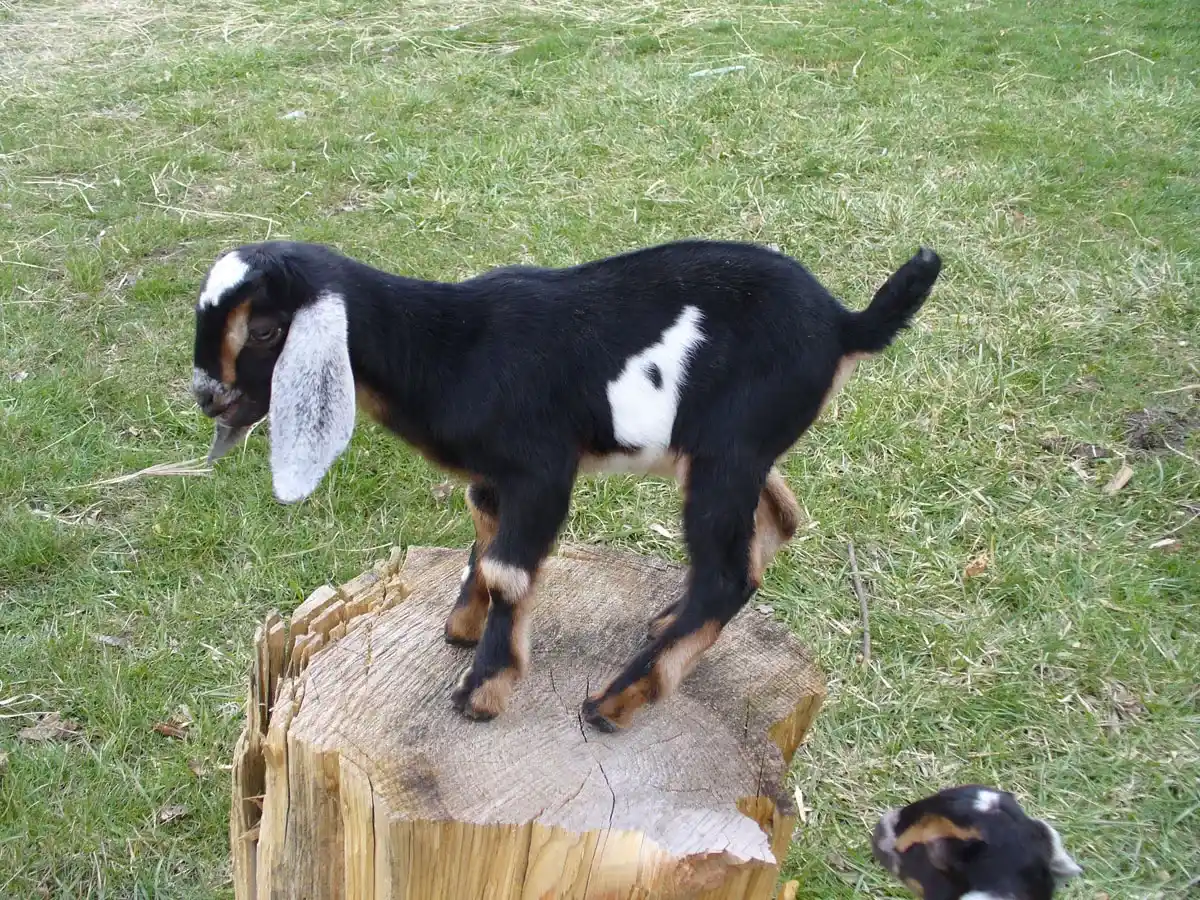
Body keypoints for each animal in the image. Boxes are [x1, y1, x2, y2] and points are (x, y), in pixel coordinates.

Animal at [189, 238, 941, 728]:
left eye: (265, 329)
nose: (205, 396)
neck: (450, 347)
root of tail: (844, 324)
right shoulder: (495, 476)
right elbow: (484, 536)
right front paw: (463, 626)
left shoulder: (542, 467)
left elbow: (510, 571)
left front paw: (483, 691)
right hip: (735, 450)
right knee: (778, 520)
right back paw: (668, 621)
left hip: (728, 452)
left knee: (729, 572)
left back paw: (617, 702)